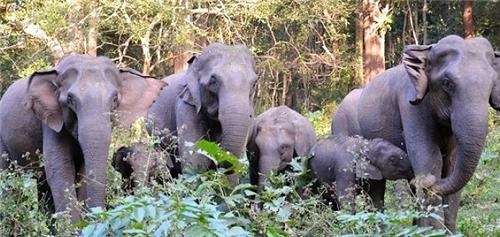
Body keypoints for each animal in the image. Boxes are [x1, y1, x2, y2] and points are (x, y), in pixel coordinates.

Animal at [0, 54, 166, 221]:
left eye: (115, 99)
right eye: (70, 99)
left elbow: (83, 171)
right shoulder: (51, 122)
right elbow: (59, 168)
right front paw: (75, 226)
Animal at [332, 35, 500, 231]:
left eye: (492, 84)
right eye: (447, 83)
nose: (427, 182)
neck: (427, 50)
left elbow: (451, 163)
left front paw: (446, 231)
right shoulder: (410, 105)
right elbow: (430, 159)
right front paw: (434, 231)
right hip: (342, 128)